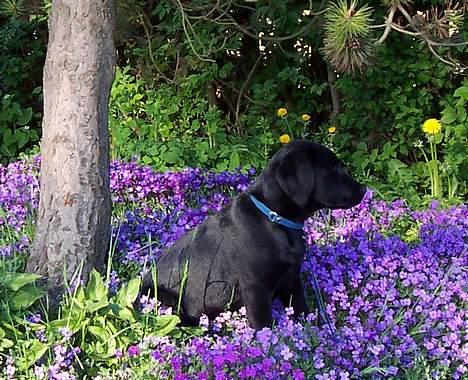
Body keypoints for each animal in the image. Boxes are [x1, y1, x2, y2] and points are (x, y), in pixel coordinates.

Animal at [140, 140, 366, 330]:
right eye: (333, 169)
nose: (363, 189)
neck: (274, 219)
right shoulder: (255, 288)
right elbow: (263, 325)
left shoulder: (292, 278)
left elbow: (302, 309)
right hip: (163, 298)